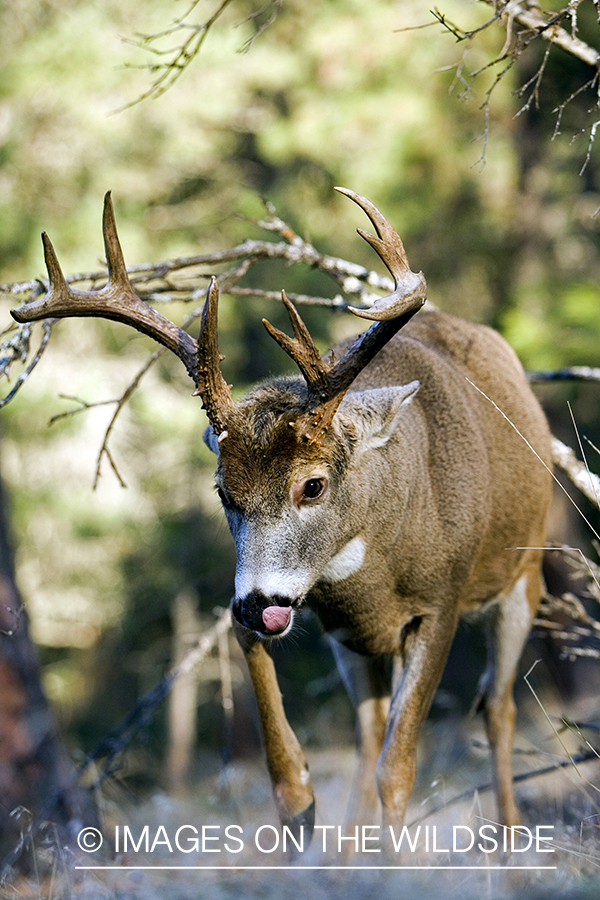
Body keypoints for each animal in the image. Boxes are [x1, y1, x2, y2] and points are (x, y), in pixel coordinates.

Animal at [10, 190, 552, 844]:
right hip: (355, 644)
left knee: (497, 706)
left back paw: (512, 846)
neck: (380, 566)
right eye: (223, 491)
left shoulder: (440, 603)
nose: (256, 604)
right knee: (371, 730)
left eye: (312, 485)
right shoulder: (290, 614)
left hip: (525, 573)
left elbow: (400, 770)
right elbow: (289, 776)